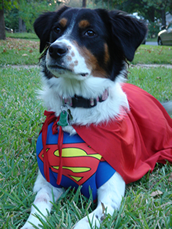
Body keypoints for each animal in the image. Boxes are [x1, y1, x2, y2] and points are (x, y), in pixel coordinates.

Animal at [21, 5, 172, 229]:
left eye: (90, 32)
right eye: (57, 29)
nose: (55, 49)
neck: (79, 107)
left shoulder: (111, 195)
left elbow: (84, 222)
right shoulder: (47, 180)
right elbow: (38, 205)